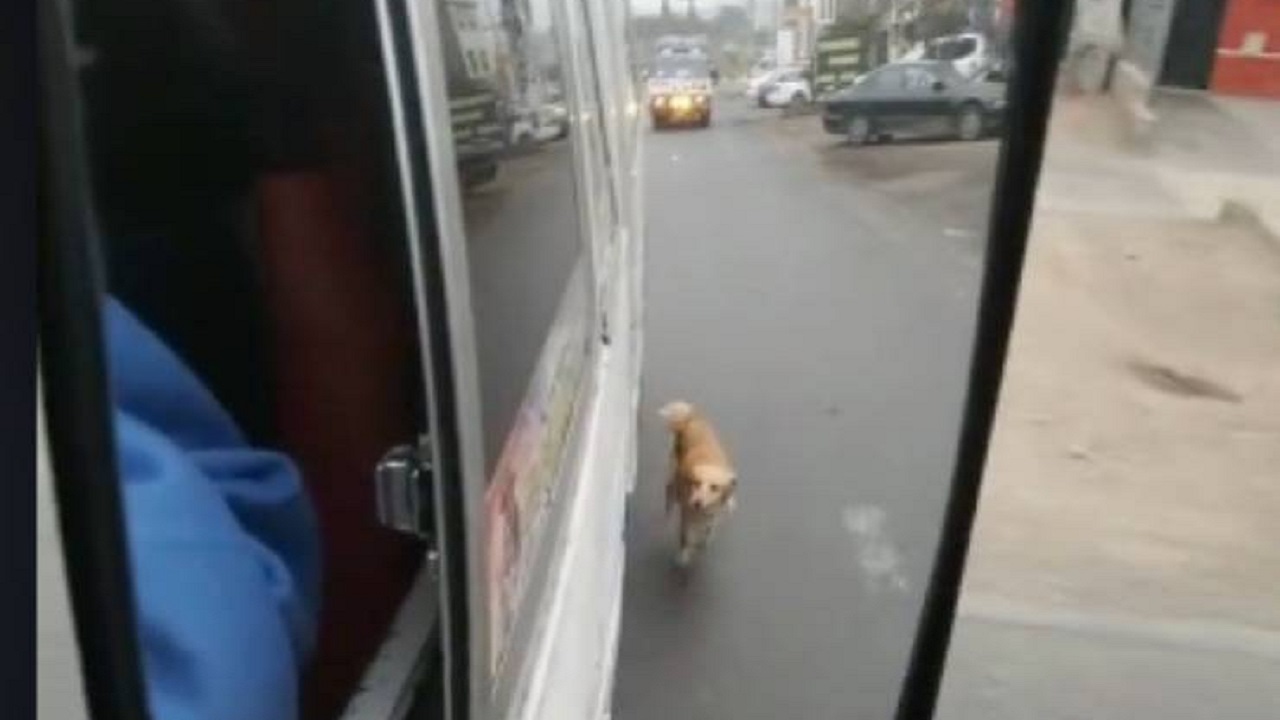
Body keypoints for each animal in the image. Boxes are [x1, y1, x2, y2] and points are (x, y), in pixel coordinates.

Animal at [660, 399, 742, 563]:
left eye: (714, 487)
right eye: (696, 483)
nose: (697, 503)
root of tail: (690, 418)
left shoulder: (712, 516)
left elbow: (708, 532)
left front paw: (704, 542)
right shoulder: (687, 514)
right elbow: (686, 537)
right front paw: (684, 554)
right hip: (673, 473)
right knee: (669, 490)